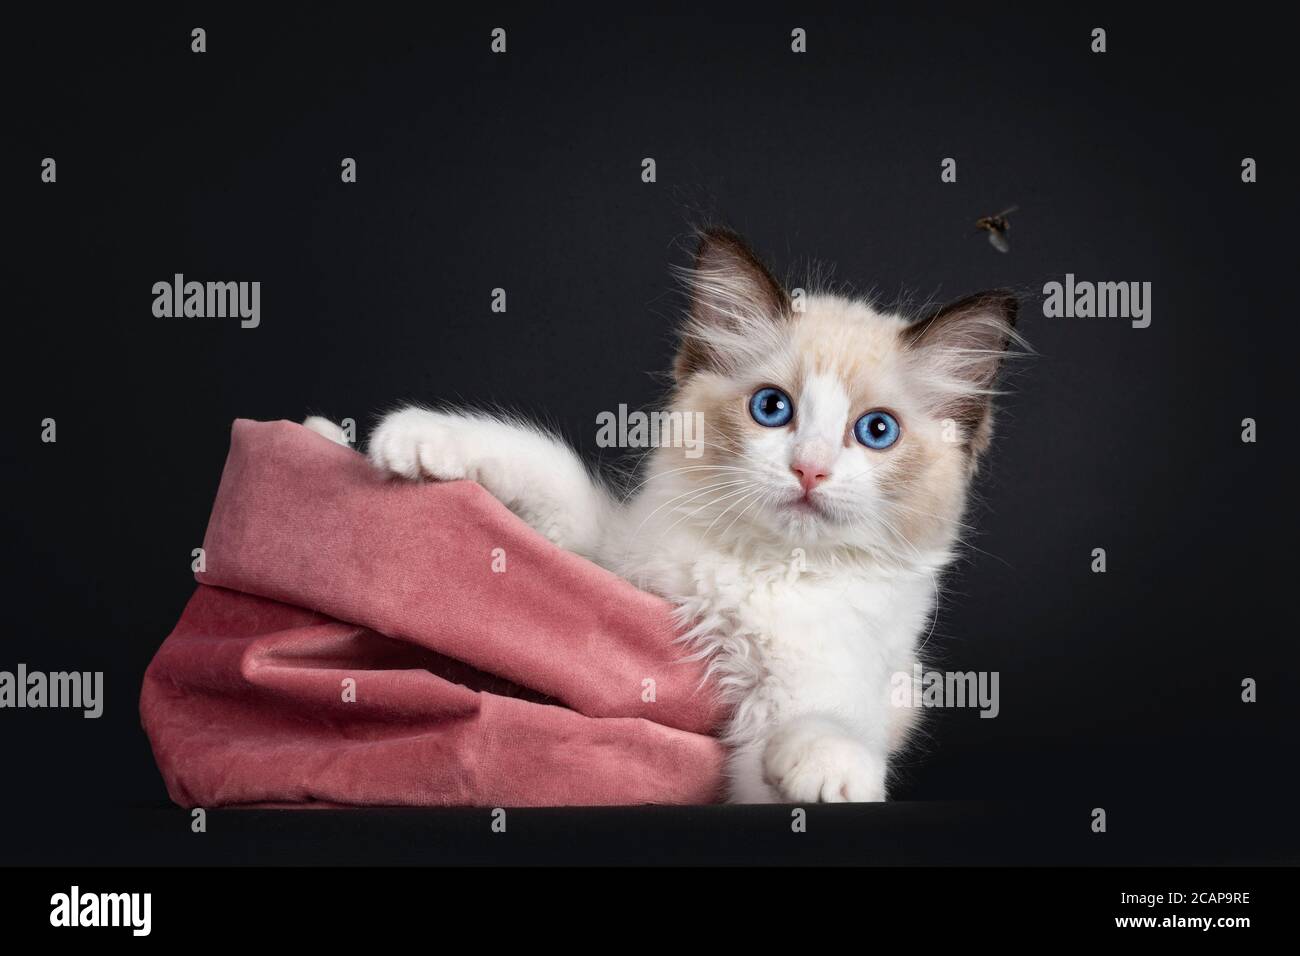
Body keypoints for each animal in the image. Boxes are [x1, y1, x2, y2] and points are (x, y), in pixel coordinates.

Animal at [304, 227, 1013, 806]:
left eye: (875, 431)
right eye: (772, 409)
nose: (809, 470)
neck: (760, 570)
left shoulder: (820, 683)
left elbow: (819, 725)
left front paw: (826, 766)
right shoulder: (608, 558)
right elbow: (547, 466)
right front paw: (415, 438)